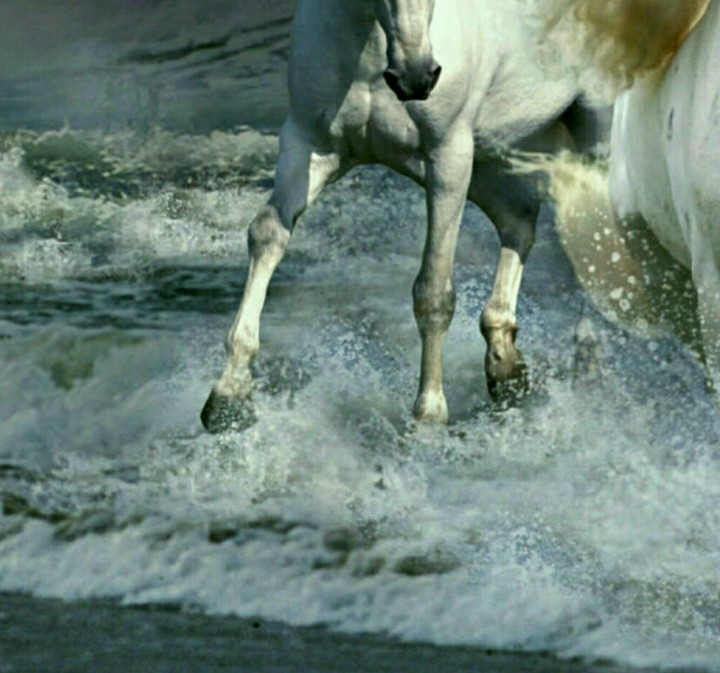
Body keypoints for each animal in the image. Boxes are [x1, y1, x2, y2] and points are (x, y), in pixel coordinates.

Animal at [200, 0, 607, 432]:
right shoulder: (309, 144)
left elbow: (433, 292)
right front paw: (227, 396)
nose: (416, 77)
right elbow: (267, 235)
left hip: (594, 130)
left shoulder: (448, 159)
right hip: (494, 157)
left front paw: (428, 417)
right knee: (520, 222)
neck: (368, 56)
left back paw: (586, 358)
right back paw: (506, 367)